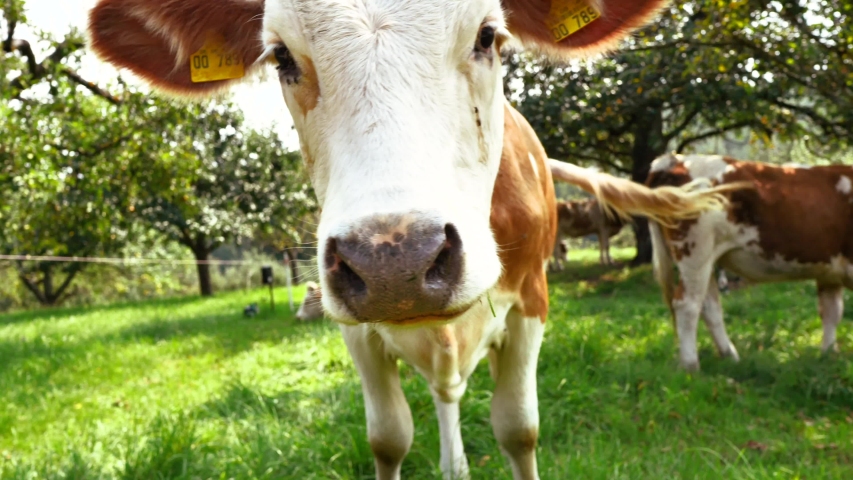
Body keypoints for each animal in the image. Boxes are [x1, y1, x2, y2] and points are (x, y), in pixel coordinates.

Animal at [87, 1, 727, 478]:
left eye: (488, 36)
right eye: (282, 56)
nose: (393, 259)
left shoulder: (532, 303)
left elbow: (519, 430)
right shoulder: (356, 329)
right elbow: (389, 438)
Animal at [648, 152, 852, 371]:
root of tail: (676, 159)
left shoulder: (829, 272)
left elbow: (831, 312)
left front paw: (828, 355)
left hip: (705, 260)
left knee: (709, 307)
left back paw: (729, 355)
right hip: (695, 252)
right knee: (687, 305)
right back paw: (690, 365)